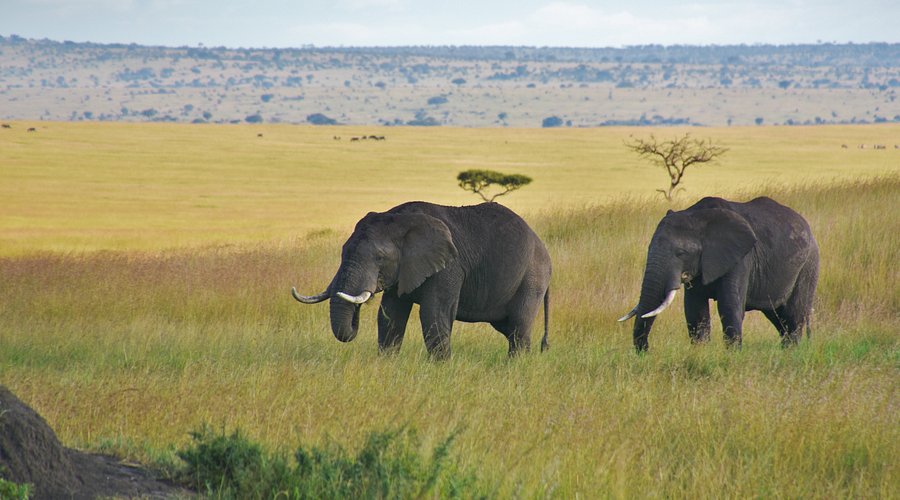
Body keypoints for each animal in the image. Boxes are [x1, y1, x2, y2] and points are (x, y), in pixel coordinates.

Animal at [292, 201, 552, 359]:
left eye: (379, 258)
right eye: (343, 251)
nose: (356, 314)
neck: (401, 221)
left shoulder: (449, 266)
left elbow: (434, 313)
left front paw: (441, 369)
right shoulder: (402, 270)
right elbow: (390, 315)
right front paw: (387, 365)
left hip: (532, 278)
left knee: (519, 327)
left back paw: (515, 366)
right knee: (509, 328)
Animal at [619, 196, 819, 351]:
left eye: (681, 253)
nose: (645, 352)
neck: (699, 217)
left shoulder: (741, 258)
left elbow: (729, 307)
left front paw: (732, 356)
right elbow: (695, 311)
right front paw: (700, 353)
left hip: (808, 265)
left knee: (793, 316)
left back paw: (791, 352)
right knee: (778, 317)